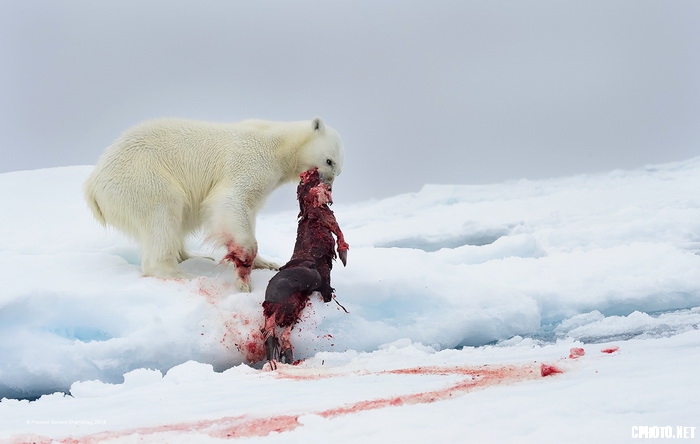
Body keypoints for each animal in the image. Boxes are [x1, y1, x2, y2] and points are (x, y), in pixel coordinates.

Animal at [83, 117, 344, 292]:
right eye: (328, 161)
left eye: (339, 170)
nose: (329, 190)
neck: (279, 144)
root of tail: (93, 184)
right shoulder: (250, 162)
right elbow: (231, 201)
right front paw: (244, 271)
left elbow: (249, 210)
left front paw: (266, 262)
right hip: (141, 179)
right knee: (164, 212)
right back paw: (179, 273)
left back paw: (193, 256)